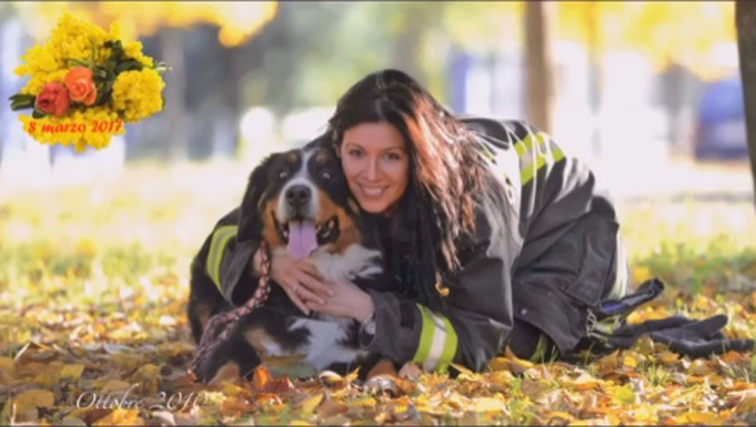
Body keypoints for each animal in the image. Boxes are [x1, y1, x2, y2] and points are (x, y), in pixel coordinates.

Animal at [187, 135, 391, 383]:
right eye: (282, 175)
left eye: (327, 175)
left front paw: (384, 381)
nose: (297, 193)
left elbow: (386, 362)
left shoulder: (363, 349)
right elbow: (226, 372)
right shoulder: (237, 339)